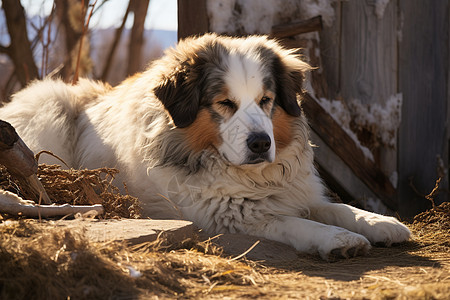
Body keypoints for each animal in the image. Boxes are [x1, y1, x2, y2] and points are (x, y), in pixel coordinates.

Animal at [0, 33, 412, 260]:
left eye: (265, 100)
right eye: (225, 103)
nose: (261, 143)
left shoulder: (295, 191)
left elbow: (337, 207)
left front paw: (380, 222)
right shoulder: (229, 214)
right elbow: (294, 222)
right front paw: (339, 240)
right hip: (51, 106)